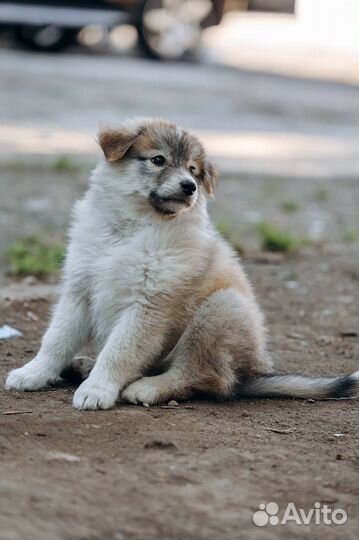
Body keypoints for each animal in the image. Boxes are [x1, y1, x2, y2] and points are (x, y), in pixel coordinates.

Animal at [3, 116, 359, 408]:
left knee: (204, 376)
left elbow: (119, 351)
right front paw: (33, 373)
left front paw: (97, 389)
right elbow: (56, 339)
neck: (133, 228)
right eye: (158, 160)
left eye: (193, 170)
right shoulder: (79, 291)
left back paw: (147, 387)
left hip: (220, 310)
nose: (189, 188)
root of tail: (252, 375)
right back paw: (85, 365)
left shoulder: (149, 304)